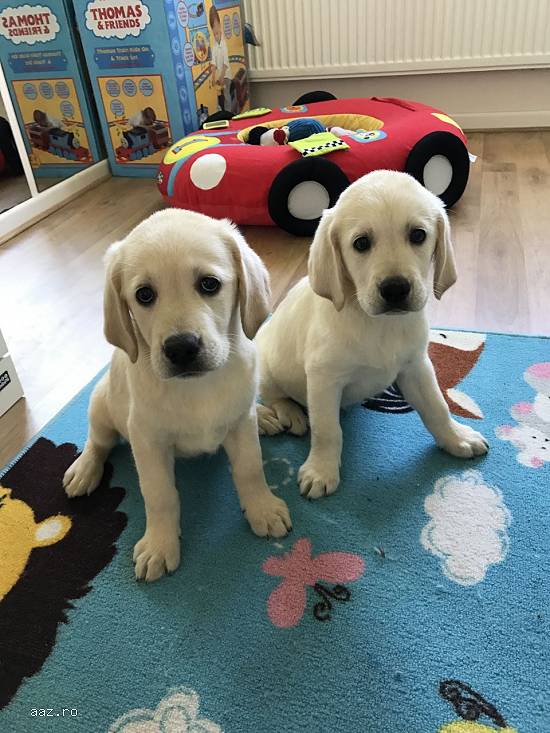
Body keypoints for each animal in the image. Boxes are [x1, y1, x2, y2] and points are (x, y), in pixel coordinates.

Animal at [64, 209, 292, 580]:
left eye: (209, 284)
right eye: (144, 295)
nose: (181, 348)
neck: (197, 386)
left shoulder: (239, 425)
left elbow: (250, 468)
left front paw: (262, 508)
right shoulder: (147, 441)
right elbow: (160, 494)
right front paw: (160, 544)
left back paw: (265, 417)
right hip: (100, 403)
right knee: (98, 441)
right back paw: (84, 469)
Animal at [256, 169, 490, 498]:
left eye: (418, 235)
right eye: (361, 243)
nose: (395, 289)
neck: (379, 325)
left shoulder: (416, 366)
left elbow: (437, 407)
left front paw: (455, 437)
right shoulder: (323, 378)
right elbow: (328, 430)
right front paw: (321, 470)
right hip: (266, 367)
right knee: (274, 395)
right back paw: (291, 414)